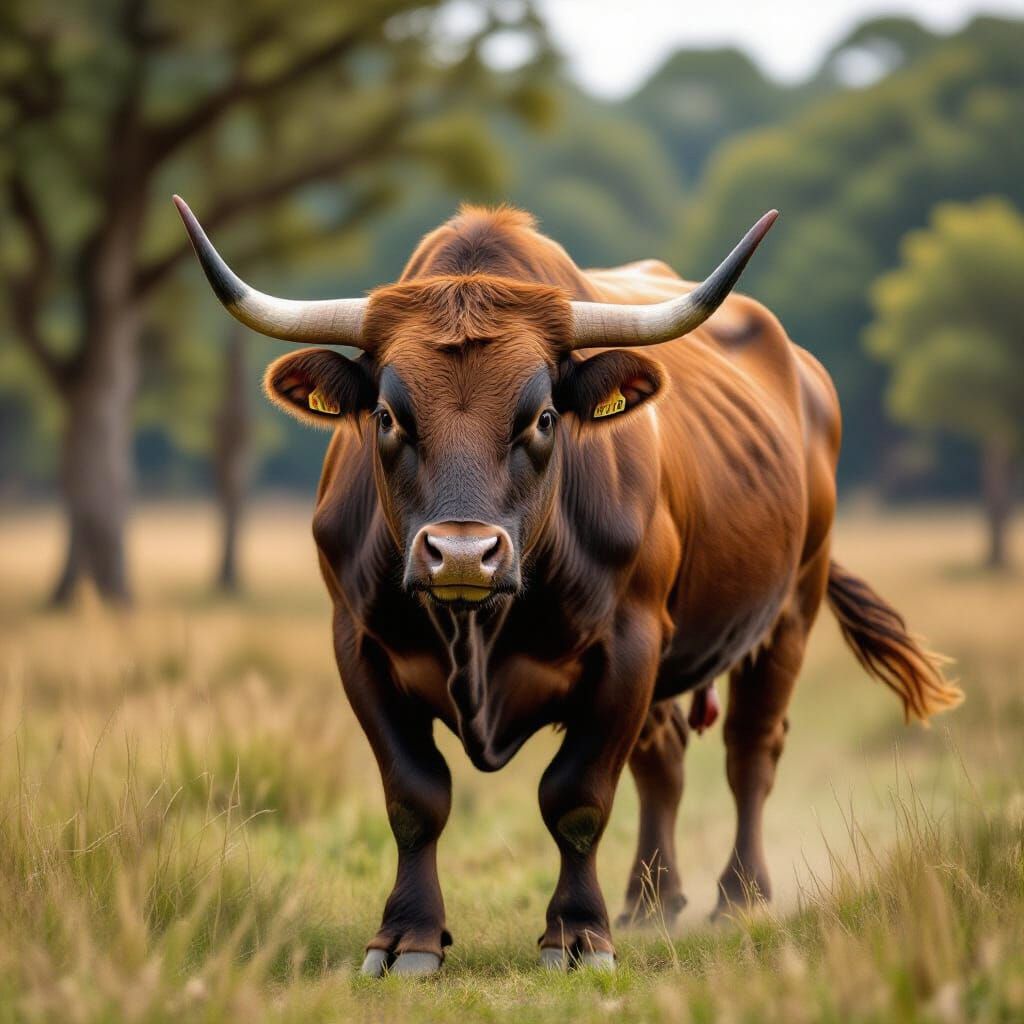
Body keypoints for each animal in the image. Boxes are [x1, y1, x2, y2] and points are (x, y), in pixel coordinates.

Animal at [174, 196, 962, 976]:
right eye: (389, 417)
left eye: (544, 417)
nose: (463, 556)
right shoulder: (359, 644)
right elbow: (415, 794)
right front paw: (407, 938)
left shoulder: (627, 646)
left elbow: (577, 796)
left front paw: (578, 935)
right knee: (664, 761)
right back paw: (651, 902)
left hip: (789, 610)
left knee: (750, 751)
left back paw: (739, 897)